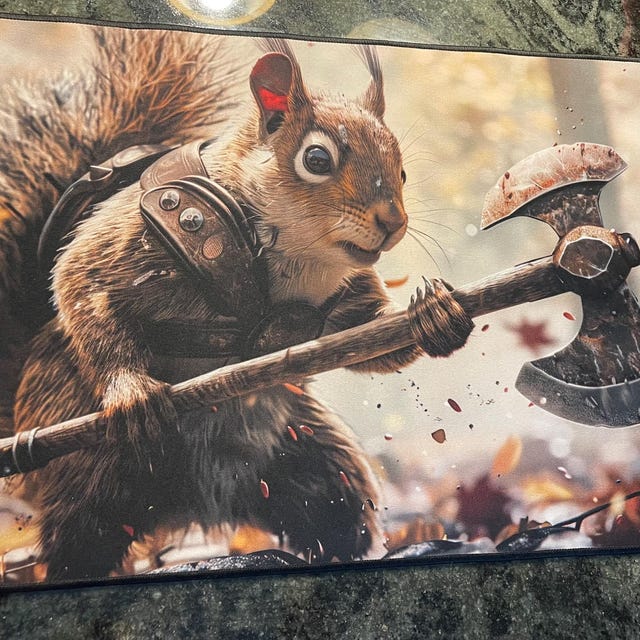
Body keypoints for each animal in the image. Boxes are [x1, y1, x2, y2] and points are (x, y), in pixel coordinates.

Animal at [1, 26, 473, 581]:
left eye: (400, 170)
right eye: (317, 160)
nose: (393, 222)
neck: (300, 257)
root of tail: (188, 509)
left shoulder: (344, 302)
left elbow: (368, 342)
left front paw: (432, 315)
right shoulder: (137, 236)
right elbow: (81, 281)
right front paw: (131, 390)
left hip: (302, 454)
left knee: (335, 514)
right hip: (88, 474)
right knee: (77, 546)